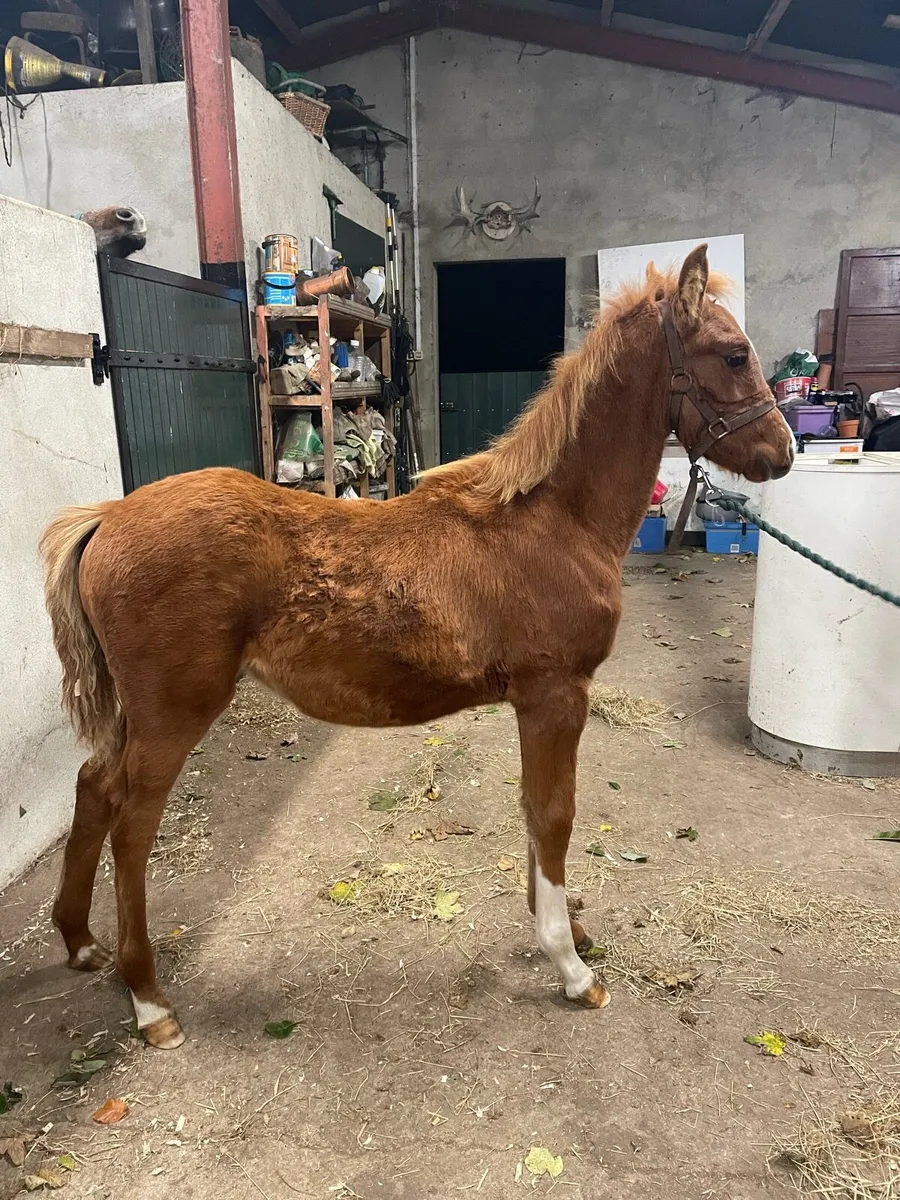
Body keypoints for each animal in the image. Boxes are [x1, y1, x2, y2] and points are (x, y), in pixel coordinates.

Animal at [40, 244, 793, 1049]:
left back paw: (80, 942)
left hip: (138, 716)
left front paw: (569, 931)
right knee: (131, 825)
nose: (781, 453)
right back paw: (150, 1001)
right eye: (734, 353)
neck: (553, 517)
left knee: (92, 787)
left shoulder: (535, 703)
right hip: (174, 713)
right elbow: (554, 814)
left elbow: (533, 810)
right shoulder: (557, 695)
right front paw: (571, 966)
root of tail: (106, 516)